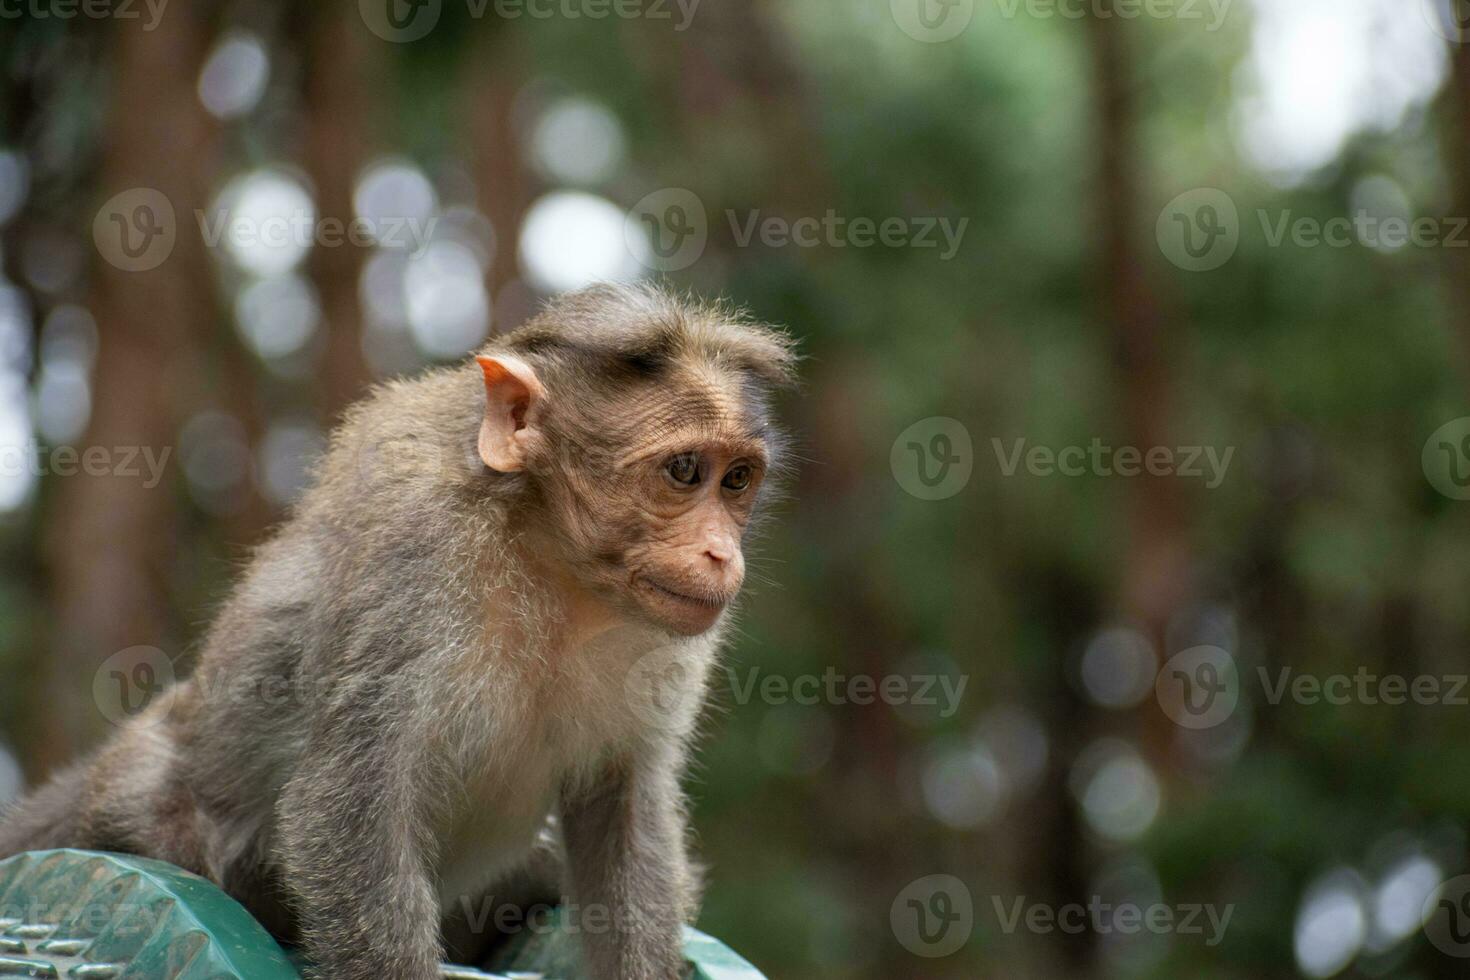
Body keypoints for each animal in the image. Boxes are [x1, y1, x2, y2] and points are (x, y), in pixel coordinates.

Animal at [0, 283, 793, 980]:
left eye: (737, 480)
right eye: (684, 471)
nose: (722, 554)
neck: (553, 563)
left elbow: (622, 805)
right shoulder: (416, 553)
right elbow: (349, 801)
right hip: (145, 806)